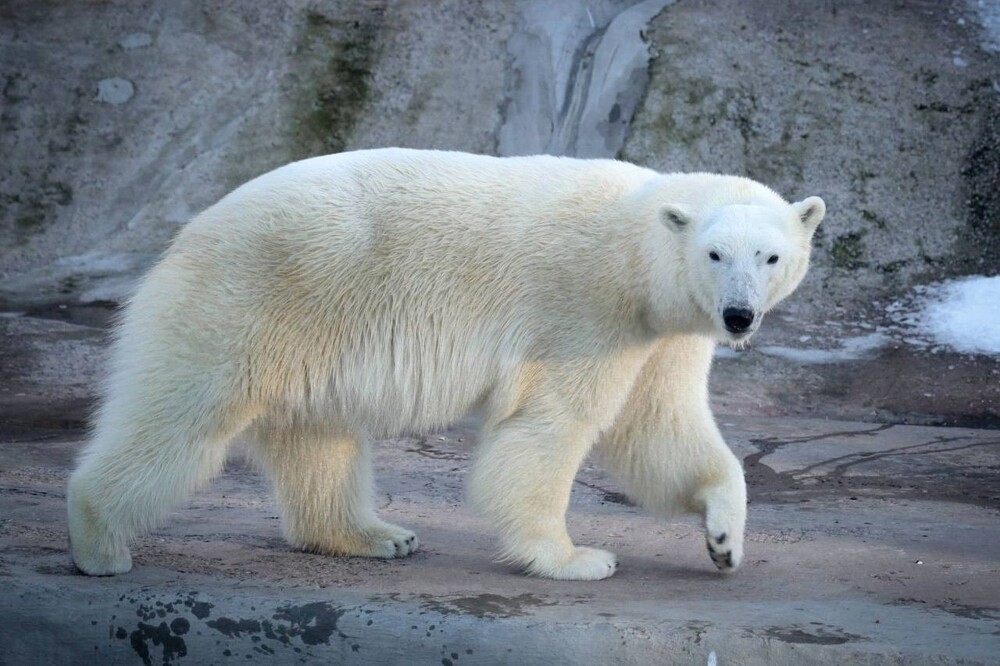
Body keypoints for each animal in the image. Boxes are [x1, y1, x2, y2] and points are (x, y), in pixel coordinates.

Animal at [66, 148, 824, 580]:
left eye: (771, 256)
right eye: (716, 253)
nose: (738, 316)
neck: (633, 246)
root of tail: (189, 231)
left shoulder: (660, 333)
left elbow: (661, 428)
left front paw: (724, 539)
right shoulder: (584, 306)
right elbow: (550, 426)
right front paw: (574, 557)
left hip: (309, 328)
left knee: (320, 439)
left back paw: (375, 535)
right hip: (248, 298)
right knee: (181, 415)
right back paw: (100, 546)